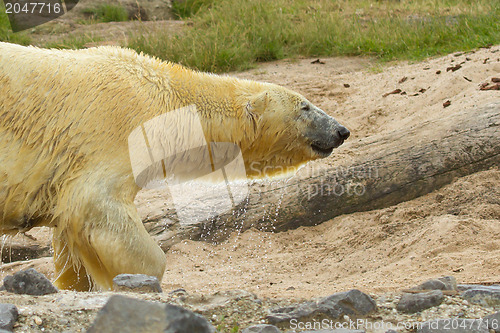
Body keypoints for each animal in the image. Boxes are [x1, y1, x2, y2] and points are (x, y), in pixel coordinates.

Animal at [0, 41, 348, 290]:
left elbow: (69, 239)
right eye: (305, 106)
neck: (165, 100)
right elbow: (96, 206)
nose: (341, 130)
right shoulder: (114, 131)